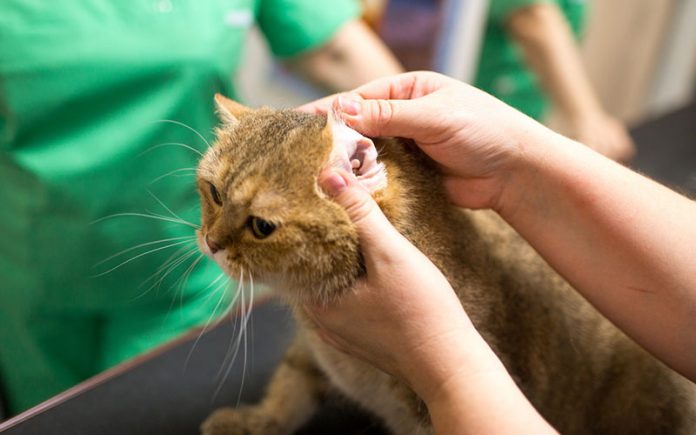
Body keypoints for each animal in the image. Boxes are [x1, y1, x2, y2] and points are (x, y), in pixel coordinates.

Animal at [196, 95, 696, 435]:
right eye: (215, 193)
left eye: (262, 226)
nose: (211, 243)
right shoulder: (310, 355)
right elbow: (289, 390)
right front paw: (255, 420)